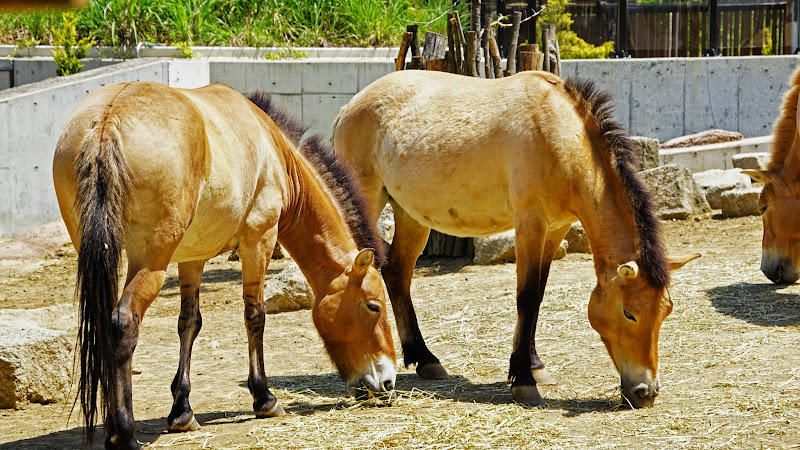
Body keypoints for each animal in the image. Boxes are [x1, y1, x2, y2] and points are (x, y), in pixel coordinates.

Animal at [53, 80, 396, 446]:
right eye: (373, 306)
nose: (388, 381)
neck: (273, 148)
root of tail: (107, 120)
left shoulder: (192, 258)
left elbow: (189, 323)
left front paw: (182, 411)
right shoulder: (259, 241)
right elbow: (255, 316)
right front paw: (264, 398)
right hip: (150, 262)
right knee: (123, 323)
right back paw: (125, 433)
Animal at [334, 69, 696, 408]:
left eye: (666, 310)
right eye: (629, 313)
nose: (646, 391)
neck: (561, 135)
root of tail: (349, 107)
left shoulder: (556, 228)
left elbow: (539, 295)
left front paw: (534, 366)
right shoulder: (530, 224)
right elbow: (528, 297)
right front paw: (523, 381)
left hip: (411, 215)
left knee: (398, 273)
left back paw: (425, 360)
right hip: (368, 200)